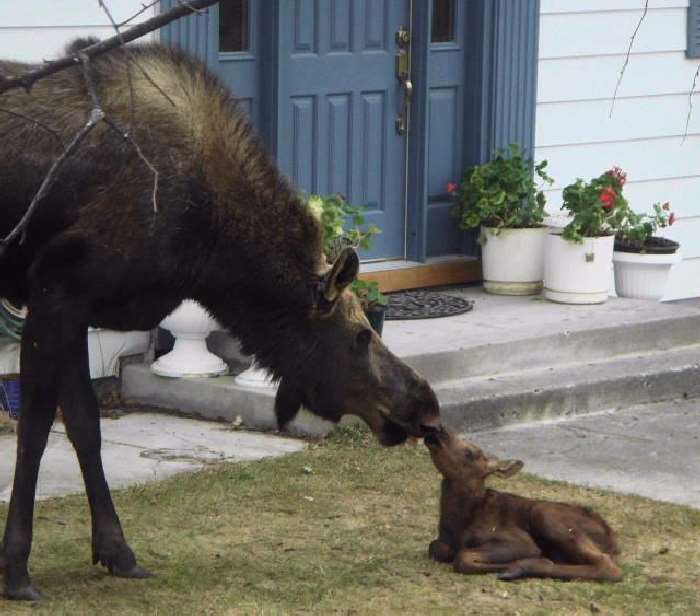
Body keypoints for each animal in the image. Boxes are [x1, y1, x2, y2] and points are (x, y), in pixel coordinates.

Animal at [0, 41, 440, 600]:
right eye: (361, 335)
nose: (425, 405)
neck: (208, 253)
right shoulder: (55, 290)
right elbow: (35, 433)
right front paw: (16, 568)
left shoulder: (77, 306)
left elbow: (84, 425)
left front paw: (116, 550)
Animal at [424, 428, 620, 584]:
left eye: (470, 453)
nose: (438, 429)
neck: (459, 521)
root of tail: (613, 541)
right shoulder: (442, 542)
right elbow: (435, 547)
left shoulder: (521, 541)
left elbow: (462, 556)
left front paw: (533, 561)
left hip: (543, 512)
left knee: (608, 566)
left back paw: (522, 567)